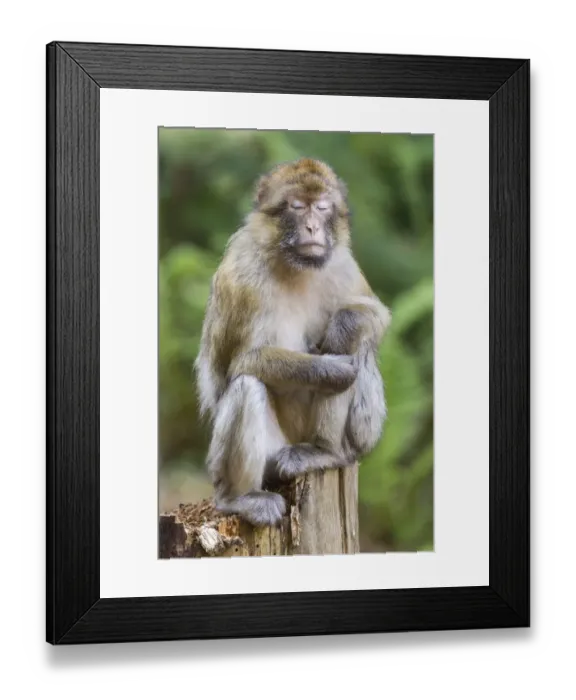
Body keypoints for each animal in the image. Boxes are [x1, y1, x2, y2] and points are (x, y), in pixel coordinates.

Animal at [194, 157, 391, 527]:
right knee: (247, 387)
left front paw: (343, 327)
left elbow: (375, 314)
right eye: (297, 207)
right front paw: (331, 370)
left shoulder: (341, 262)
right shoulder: (242, 275)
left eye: (322, 207)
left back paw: (323, 452)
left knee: (357, 347)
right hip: (267, 455)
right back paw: (238, 498)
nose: (312, 227)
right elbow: (240, 363)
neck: (294, 266)